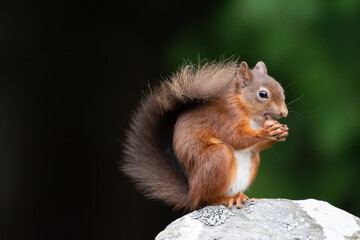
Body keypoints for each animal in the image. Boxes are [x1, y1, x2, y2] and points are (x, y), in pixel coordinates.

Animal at [122, 60, 288, 210]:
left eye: (281, 89)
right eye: (263, 94)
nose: (284, 113)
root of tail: (192, 194)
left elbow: (255, 146)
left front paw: (283, 132)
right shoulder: (227, 116)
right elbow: (236, 137)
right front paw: (266, 132)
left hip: (251, 162)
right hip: (218, 157)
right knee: (207, 200)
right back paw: (229, 199)